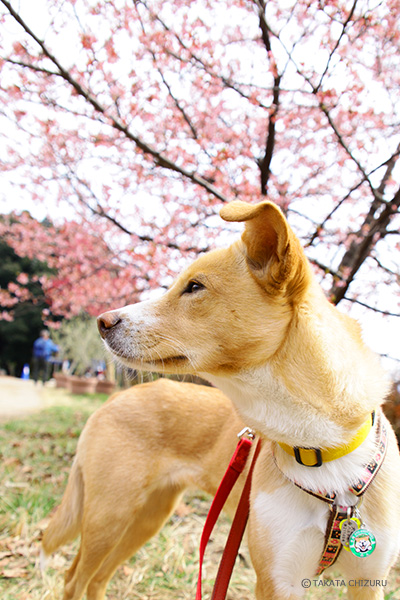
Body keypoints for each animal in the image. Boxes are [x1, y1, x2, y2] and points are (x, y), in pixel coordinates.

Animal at [97, 203, 400, 600]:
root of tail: (118, 397)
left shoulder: (368, 581)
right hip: (111, 516)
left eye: (194, 287)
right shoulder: (277, 579)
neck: (322, 451)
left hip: (143, 518)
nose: (101, 321)